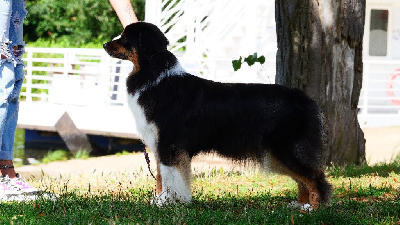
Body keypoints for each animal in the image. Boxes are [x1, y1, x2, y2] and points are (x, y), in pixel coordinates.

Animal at [103, 22, 332, 210]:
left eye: (124, 37)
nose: (105, 44)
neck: (152, 72)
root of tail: (301, 97)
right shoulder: (159, 144)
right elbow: (161, 176)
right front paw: (160, 201)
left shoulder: (169, 144)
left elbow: (170, 176)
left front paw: (168, 201)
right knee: (303, 178)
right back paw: (299, 205)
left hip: (284, 148)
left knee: (315, 177)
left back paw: (312, 209)